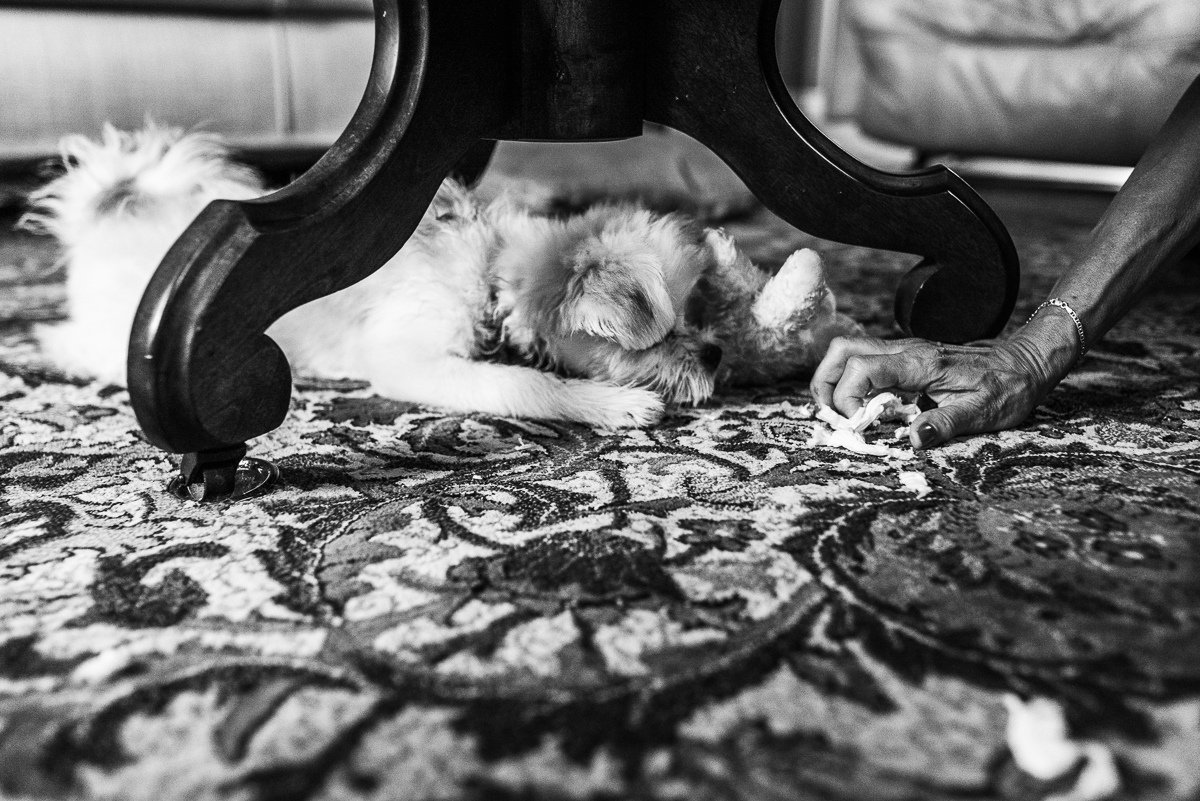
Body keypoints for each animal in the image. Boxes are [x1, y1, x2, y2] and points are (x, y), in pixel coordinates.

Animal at [23, 124, 861, 427]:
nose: (717, 354)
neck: (488, 272)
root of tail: (105, 217)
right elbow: (521, 382)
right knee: (66, 338)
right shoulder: (413, 356)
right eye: (662, 332)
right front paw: (613, 404)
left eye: (702, 307)